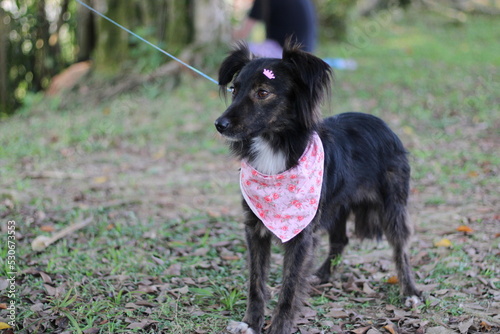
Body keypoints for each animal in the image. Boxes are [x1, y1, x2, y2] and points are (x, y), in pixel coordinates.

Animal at [215, 42, 422, 334]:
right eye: (234, 89)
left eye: (263, 92)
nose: (219, 124)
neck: (275, 146)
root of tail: (381, 122)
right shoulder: (255, 227)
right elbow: (256, 282)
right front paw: (251, 323)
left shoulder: (302, 232)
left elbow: (290, 287)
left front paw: (279, 327)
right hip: (337, 207)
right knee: (340, 240)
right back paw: (323, 274)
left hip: (391, 205)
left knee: (400, 247)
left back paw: (410, 291)